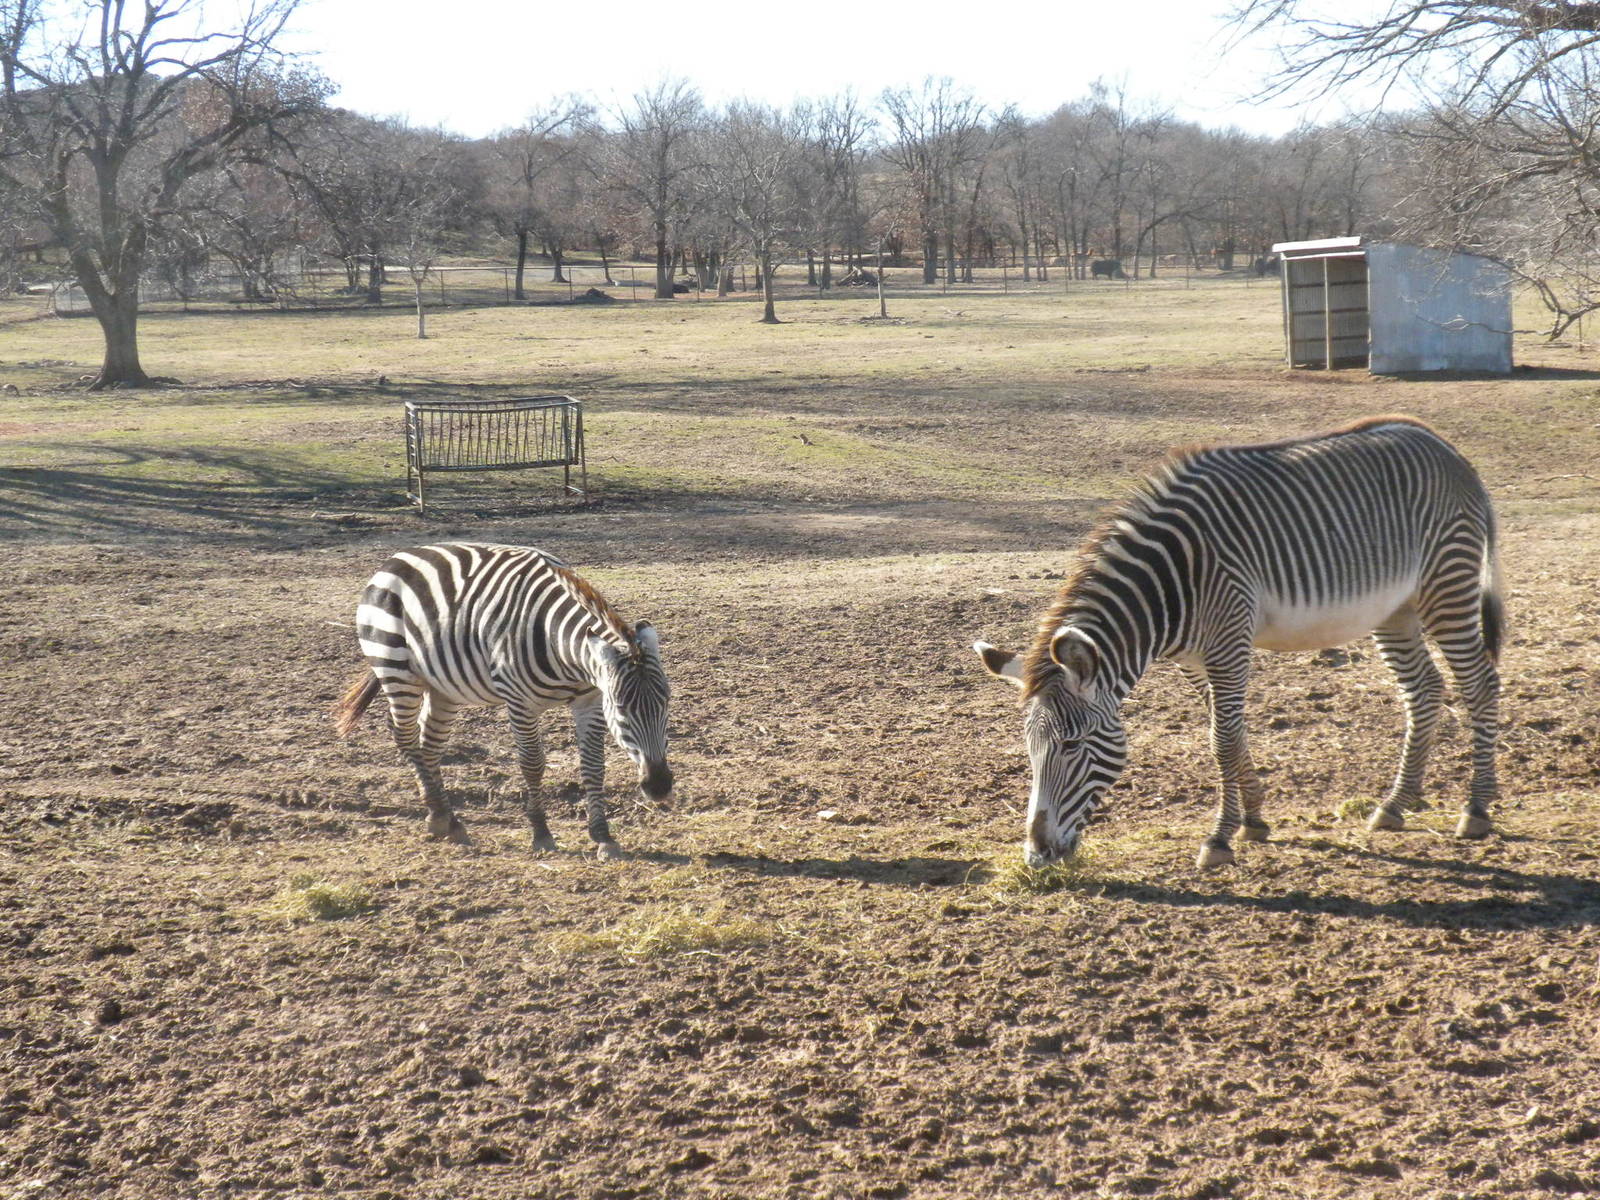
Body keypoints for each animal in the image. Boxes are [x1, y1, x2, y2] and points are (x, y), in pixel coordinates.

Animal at [331, 542, 672, 859]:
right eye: (622, 709)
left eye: (666, 705)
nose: (659, 787)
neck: (565, 654)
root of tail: (397, 558)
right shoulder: (519, 702)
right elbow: (532, 764)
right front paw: (541, 833)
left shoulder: (590, 701)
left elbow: (593, 764)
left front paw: (602, 836)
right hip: (395, 667)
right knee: (404, 735)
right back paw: (439, 817)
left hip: (444, 686)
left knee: (429, 743)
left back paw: (447, 819)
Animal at [974, 415, 1502, 870]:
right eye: (1029, 747)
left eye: (1073, 744)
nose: (1037, 855)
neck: (1170, 582)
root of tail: (1443, 444)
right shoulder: (1192, 658)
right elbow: (1229, 729)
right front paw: (1253, 820)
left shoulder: (1229, 640)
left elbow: (1222, 738)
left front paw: (1220, 838)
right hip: (1396, 609)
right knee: (1424, 690)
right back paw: (1396, 804)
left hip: (1446, 583)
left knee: (1480, 684)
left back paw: (1476, 809)